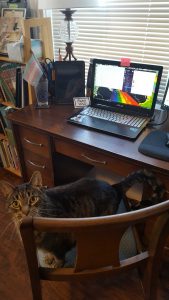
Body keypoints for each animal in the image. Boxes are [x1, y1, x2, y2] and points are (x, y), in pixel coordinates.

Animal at [0, 170, 166, 268]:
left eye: (33, 199)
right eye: (15, 203)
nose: (26, 212)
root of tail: (114, 186)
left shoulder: (60, 245)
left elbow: (59, 259)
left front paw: (55, 263)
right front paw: (48, 258)